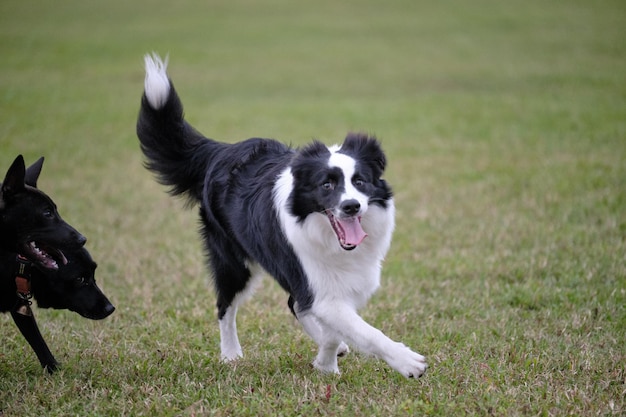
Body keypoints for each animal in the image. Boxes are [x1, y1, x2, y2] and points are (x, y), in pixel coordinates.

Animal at [137, 52, 426, 376]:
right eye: (326, 185)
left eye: (360, 181)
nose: (351, 206)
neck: (328, 238)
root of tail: (221, 151)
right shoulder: (315, 281)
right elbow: (364, 331)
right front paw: (406, 361)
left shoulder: (329, 285)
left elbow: (328, 324)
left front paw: (327, 361)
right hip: (234, 263)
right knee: (226, 306)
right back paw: (231, 354)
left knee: (293, 303)